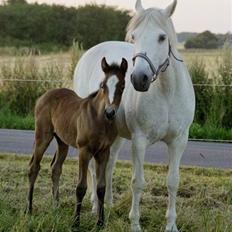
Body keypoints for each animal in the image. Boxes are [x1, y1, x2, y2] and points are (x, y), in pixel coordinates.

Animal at [27, 57, 129, 227]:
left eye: (122, 86)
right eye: (102, 85)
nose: (110, 113)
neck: (99, 119)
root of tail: (43, 96)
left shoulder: (104, 152)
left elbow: (101, 187)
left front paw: (100, 223)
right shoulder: (84, 150)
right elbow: (81, 187)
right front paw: (75, 222)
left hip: (62, 142)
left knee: (56, 168)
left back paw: (56, 207)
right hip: (43, 136)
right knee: (34, 167)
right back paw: (28, 209)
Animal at [73, 0, 195, 231]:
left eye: (162, 37)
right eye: (134, 36)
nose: (139, 78)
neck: (166, 93)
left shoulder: (179, 141)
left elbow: (173, 181)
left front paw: (171, 225)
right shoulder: (139, 141)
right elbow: (137, 183)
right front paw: (135, 224)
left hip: (115, 136)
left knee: (108, 165)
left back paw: (108, 204)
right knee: (93, 168)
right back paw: (95, 206)